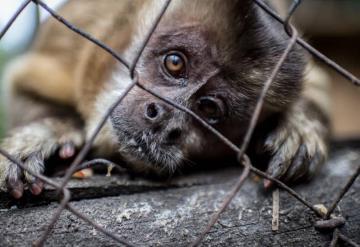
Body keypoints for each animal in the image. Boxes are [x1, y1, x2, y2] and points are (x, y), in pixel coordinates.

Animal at [0, 0, 330, 198]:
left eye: (209, 108)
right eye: (174, 63)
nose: (166, 122)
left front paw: (298, 127)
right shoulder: (74, 41)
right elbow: (21, 84)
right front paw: (48, 132)